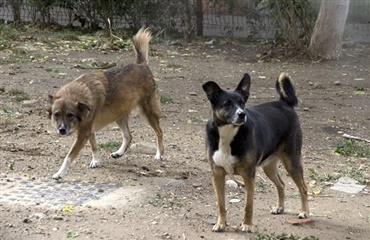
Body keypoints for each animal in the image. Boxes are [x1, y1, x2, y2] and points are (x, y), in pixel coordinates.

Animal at [46, 27, 163, 179]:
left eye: (70, 115)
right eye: (56, 114)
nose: (61, 130)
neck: (81, 93)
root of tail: (141, 65)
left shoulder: (84, 133)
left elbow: (69, 156)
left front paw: (60, 173)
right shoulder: (89, 130)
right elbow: (94, 146)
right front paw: (96, 161)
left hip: (149, 112)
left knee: (159, 133)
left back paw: (159, 154)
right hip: (119, 115)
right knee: (128, 135)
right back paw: (119, 153)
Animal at [202, 72, 310, 232]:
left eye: (242, 103)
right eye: (226, 103)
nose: (242, 114)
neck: (228, 133)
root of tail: (284, 103)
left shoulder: (249, 176)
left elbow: (248, 205)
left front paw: (247, 224)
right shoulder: (217, 175)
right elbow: (221, 205)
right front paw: (220, 224)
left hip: (292, 162)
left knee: (303, 187)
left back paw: (304, 212)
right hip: (269, 167)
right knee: (281, 184)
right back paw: (280, 207)